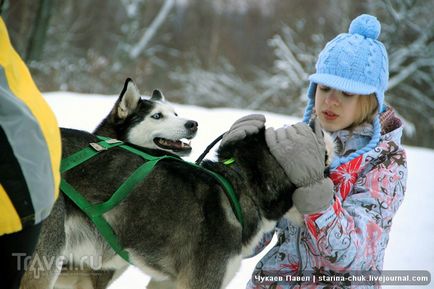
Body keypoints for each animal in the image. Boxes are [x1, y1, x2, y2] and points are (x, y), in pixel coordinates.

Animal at [19, 121, 332, 286]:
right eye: (325, 164)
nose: (332, 196)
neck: (240, 188)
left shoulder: (166, 282)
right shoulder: (201, 282)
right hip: (46, 261)